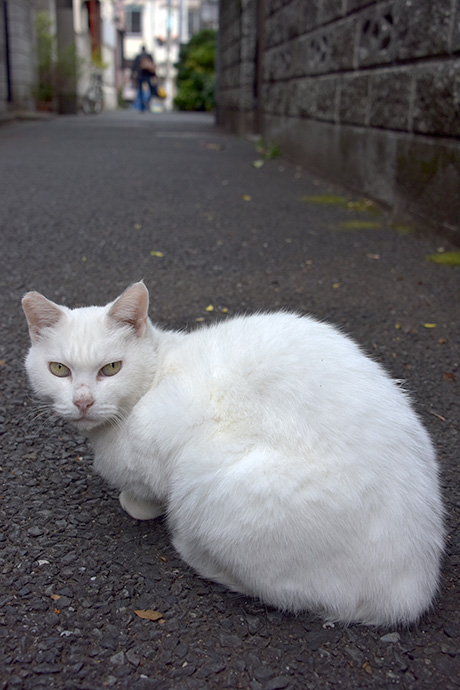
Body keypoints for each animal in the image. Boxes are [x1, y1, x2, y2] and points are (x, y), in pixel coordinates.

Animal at [22, 280, 446, 624]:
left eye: (111, 368)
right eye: (59, 369)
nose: (83, 402)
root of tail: (411, 592)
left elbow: (145, 491)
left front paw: (137, 504)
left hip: (210, 486)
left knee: (287, 593)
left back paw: (191, 551)